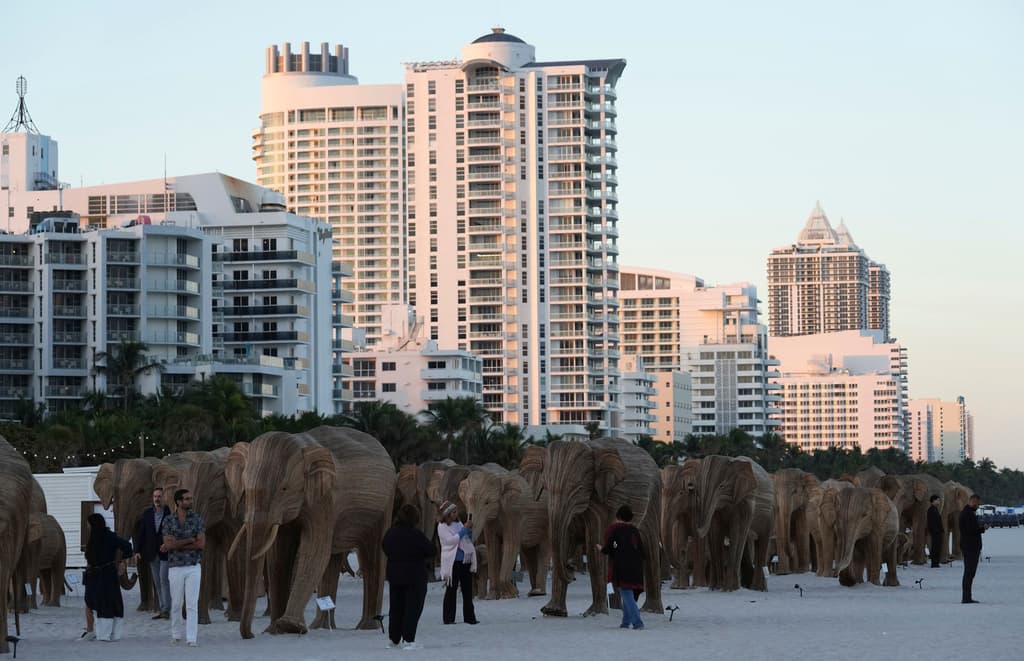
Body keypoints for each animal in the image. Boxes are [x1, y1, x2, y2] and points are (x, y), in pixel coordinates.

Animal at [225, 426, 395, 639]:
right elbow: (278, 556)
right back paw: (320, 626)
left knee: (374, 555)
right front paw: (274, 630)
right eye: (246, 490)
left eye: (284, 488)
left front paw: (289, 626)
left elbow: (314, 550)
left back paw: (367, 627)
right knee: (333, 558)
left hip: (384, 506)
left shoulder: (325, 499)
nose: (251, 635)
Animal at [458, 465, 550, 599]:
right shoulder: (490, 520)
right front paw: (491, 597)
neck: (500, 480)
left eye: (487, 502)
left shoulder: (513, 513)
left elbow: (510, 545)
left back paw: (538, 593)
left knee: (543, 550)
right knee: (530, 552)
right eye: (468, 502)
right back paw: (532, 592)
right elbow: (492, 546)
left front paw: (511, 595)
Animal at [520, 438, 663, 618]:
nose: (571, 566)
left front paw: (594, 614)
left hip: (654, 498)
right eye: (546, 488)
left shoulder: (601, 503)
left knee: (650, 547)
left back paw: (650, 611)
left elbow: (594, 546)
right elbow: (565, 540)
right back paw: (618, 610)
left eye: (579, 488)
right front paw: (552, 612)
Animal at [694, 455, 774, 592]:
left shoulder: (746, 500)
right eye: (697, 488)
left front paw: (729, 590)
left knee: (762, 542)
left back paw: (758, 589)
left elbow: (736, 531)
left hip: (770, 515)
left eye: (721, 486)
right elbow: (715, 531)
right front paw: (715, 589)